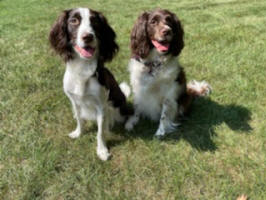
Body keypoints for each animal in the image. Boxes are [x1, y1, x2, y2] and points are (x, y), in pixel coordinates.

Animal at [48, 7, 133, 160]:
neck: (82, 68)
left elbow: (100, 133)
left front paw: (102, 150)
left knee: (130, 113)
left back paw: (129, 124)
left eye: (95, 21)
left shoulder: (101, 106)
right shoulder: (74, 101)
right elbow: (79, 119)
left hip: (117, 103)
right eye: (73, 20)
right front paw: (78, 133)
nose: (87, 37)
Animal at [125, 8, 211, 137]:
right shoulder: (139, 88)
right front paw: (131, 122)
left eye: (169, 21)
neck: (154, 63)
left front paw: (160, 132)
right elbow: (137, 108)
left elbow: (164, 115)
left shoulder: (169, 93)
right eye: (153, 21)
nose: (167, 31)